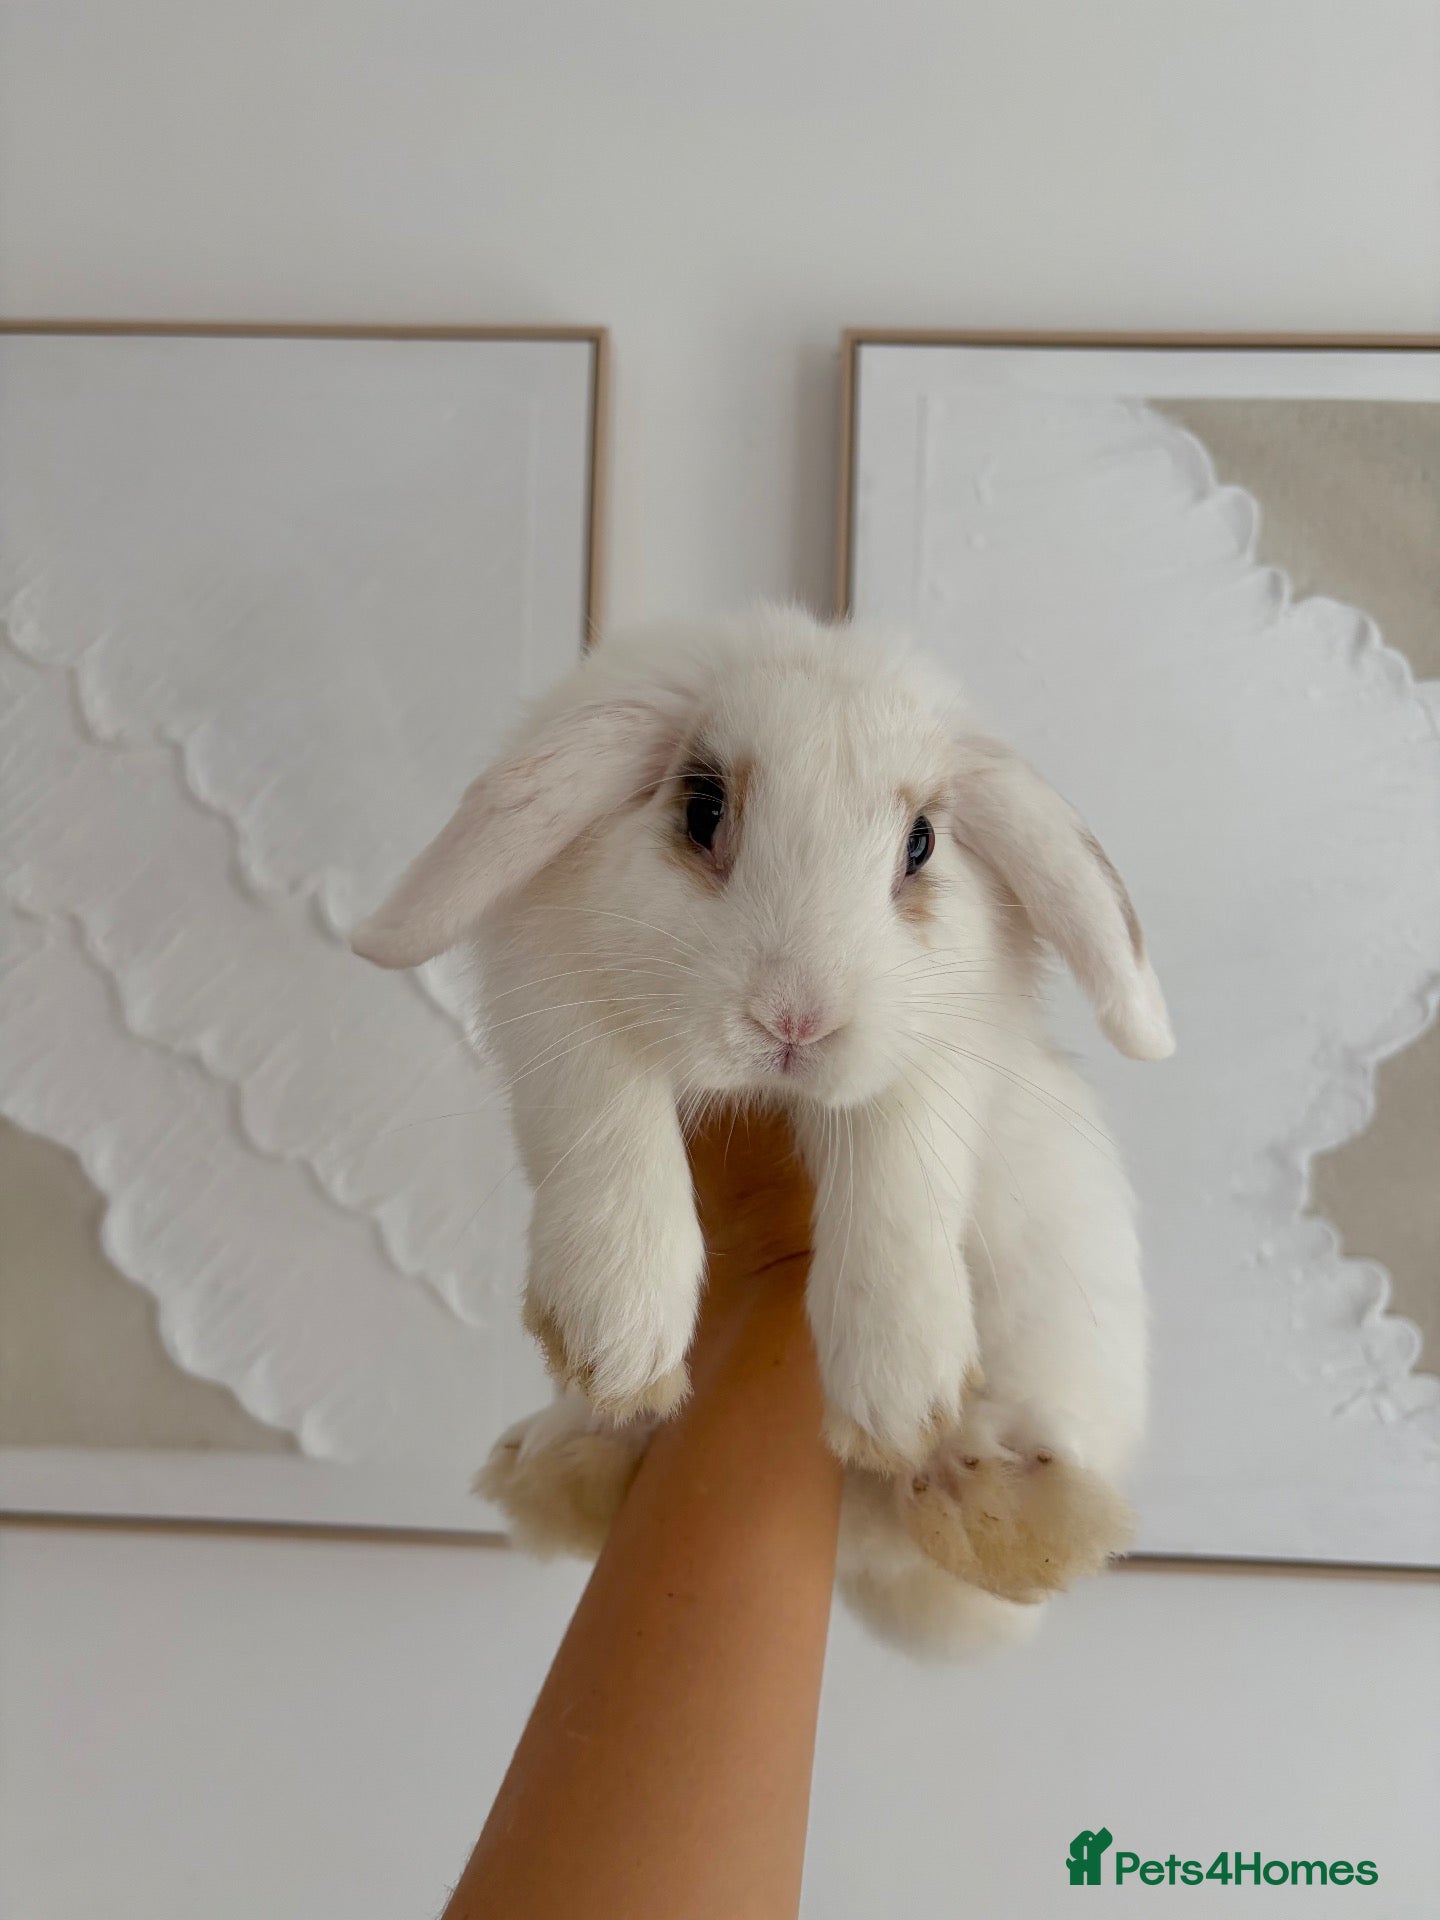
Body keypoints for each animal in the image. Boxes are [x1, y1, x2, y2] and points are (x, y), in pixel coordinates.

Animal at [352, 604, 1172, 1653]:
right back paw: (573, 1457)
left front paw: (900, 1388)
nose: (796, 1021)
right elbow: (605, 1116)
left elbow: (898, 1175)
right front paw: (618, 1336)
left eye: (921, 843)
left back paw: (987, 1491)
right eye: (701, 809)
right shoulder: (560, 996)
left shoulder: (937, 1050)